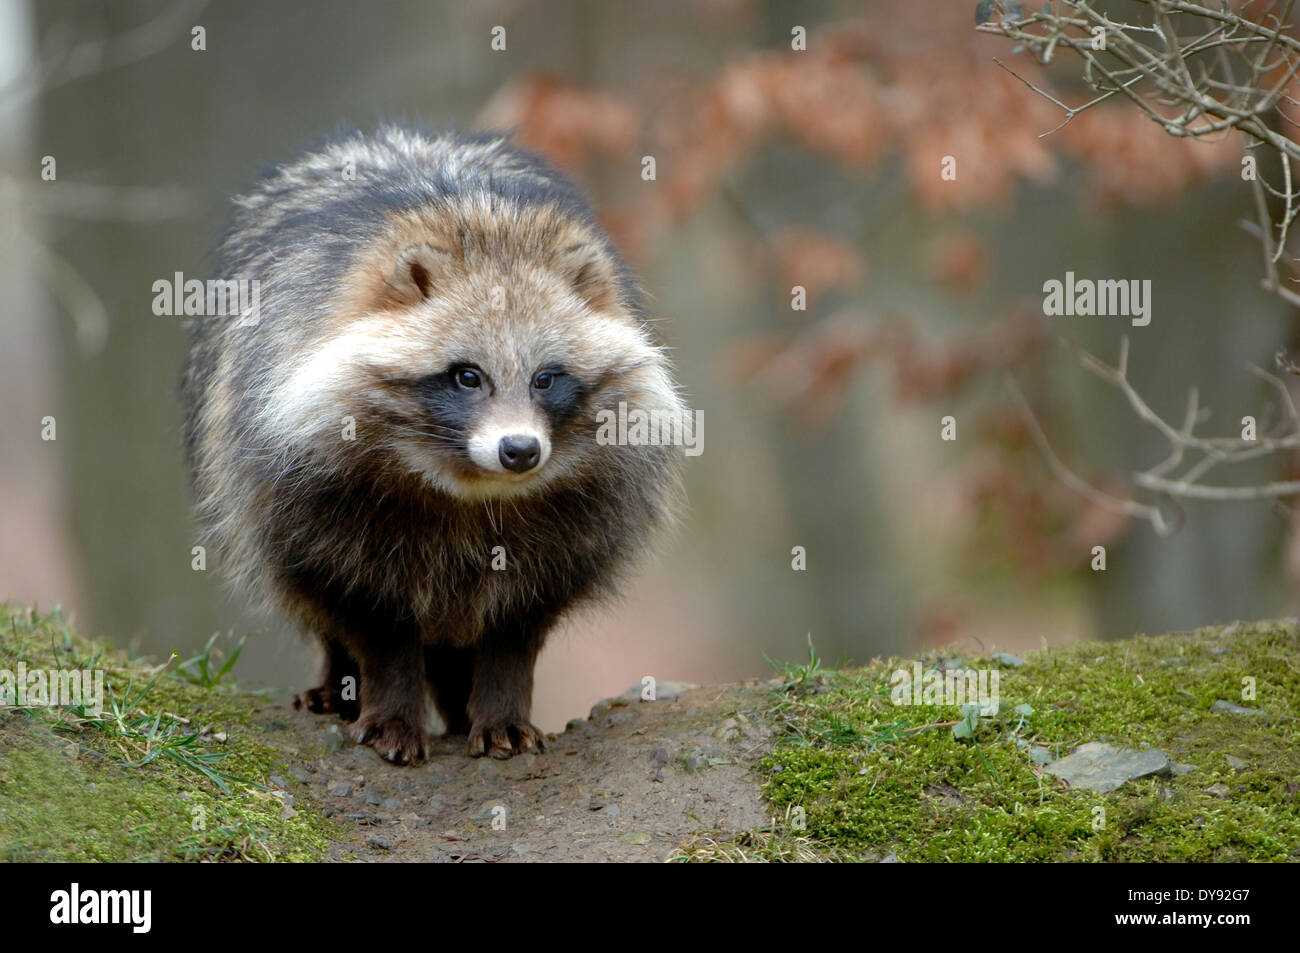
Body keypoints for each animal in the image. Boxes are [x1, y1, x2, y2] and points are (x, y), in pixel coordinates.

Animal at [188, 128, 691, 764]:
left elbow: (517, 624)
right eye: (467, 376)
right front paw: (391, 707)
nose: (520, 450)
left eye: (545, 379)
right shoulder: (313, 495)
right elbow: (372, 616)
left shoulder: (578, 523)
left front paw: (500, 706)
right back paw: (339, 684)